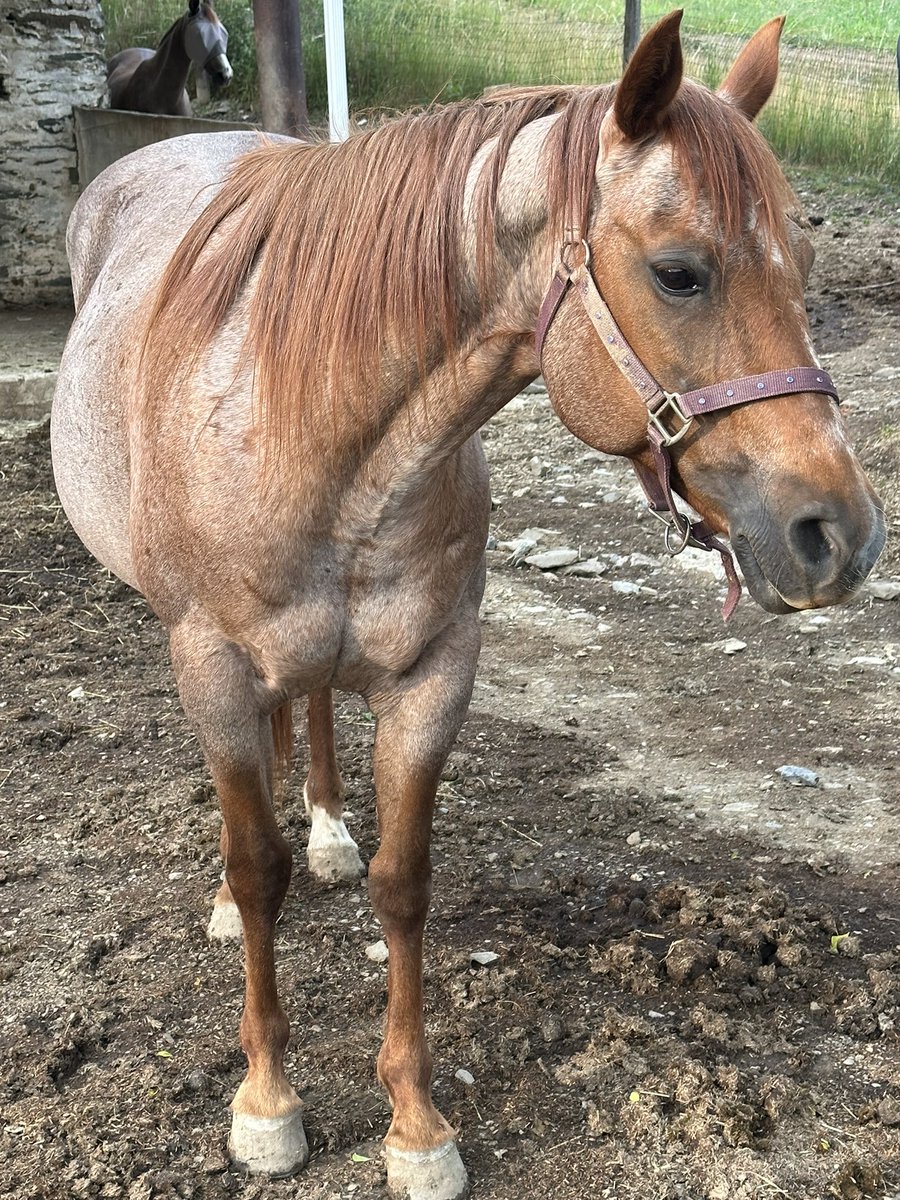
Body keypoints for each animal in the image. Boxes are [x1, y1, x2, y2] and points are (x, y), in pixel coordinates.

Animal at [49, 11, 883, 1200]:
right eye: (679, 273)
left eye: (806, 264)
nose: (840, 539)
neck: (310, 425)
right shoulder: (209, 662)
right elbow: (255, 871)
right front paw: (267, 1104)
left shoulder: (434, 674)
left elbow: (403, 884)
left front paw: (415, 1124)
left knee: (311, 711)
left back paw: (329, 828)